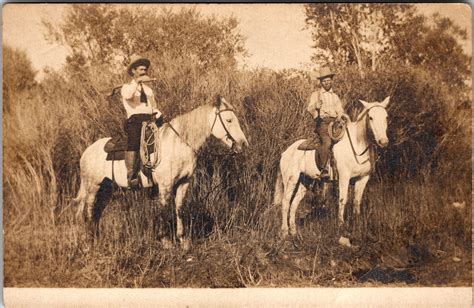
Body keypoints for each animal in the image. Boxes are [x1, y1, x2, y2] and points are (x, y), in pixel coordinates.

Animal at [74, 95, 248, 247]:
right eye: (229, 120)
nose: (243, 144)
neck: (178, 144)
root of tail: (87, 152)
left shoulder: (183, 183)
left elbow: (179, 208)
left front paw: (183, 240)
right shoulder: (165, 186)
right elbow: (164, 210)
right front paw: (166, 241)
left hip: (106, 189)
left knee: (96, 212)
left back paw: (96, 237)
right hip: (93, 187)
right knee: (88, 211)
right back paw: (89, 240)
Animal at [274, 97, 388, 244]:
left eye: (386, 117)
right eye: (371, 117)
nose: (383, 141)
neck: (357, 146)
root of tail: (285, 152)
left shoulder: (363, 179)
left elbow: (357, 202)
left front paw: (357, 227)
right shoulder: (344, 178)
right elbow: (343, 200)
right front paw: (341, 226)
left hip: (305, 182)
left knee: (293, 205)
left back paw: (293, 232)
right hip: (291, 179)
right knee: (285, 202)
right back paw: (284, 232)